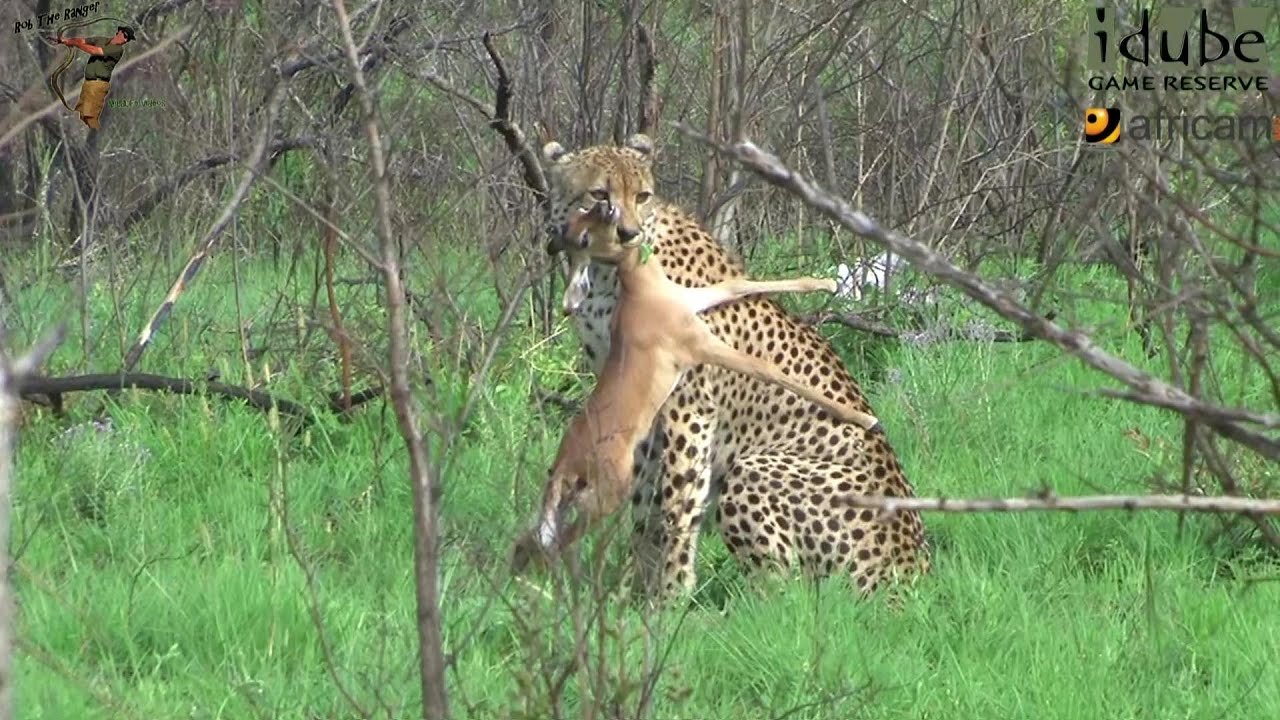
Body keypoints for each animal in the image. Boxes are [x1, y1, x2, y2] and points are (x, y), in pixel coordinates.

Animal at [540, 131, 931, 597]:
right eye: (599, 194)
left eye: (642, 195)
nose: (628, 233)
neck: (607, 274)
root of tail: (916, 571)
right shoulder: (636, 397)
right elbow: (645, 503)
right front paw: (634, 592)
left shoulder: (688, 407)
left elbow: (677, 502)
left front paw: (669, 597)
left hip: (756, 468)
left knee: (786, 592)